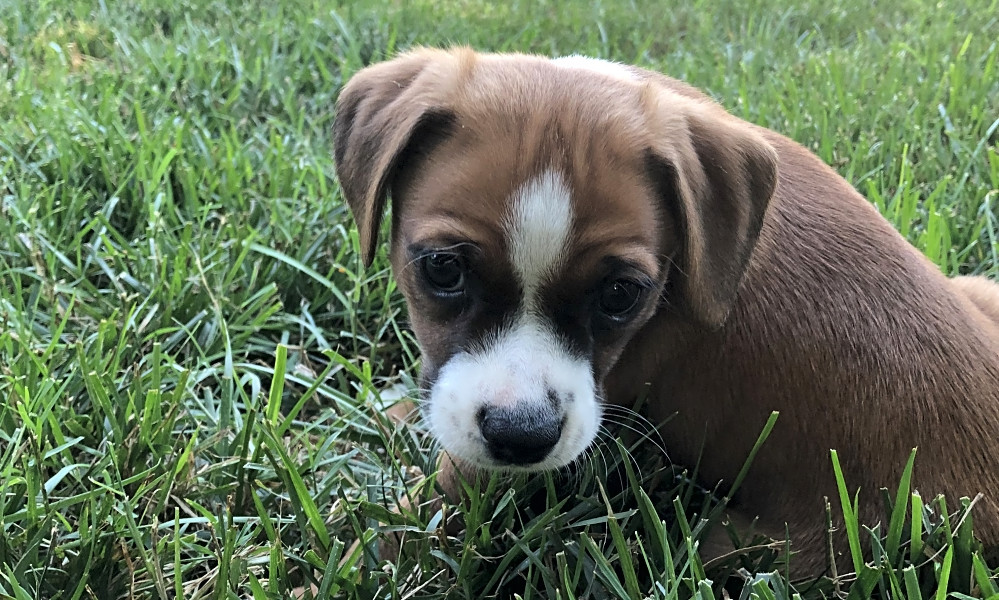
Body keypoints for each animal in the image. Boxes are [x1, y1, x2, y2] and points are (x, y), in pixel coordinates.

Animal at [334, 48, 999, 576]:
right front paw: (390, 412)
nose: (522, 437)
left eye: (620, 295)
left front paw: (358, 558)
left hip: (753, 547)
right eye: (443, 268)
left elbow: (434, 502)